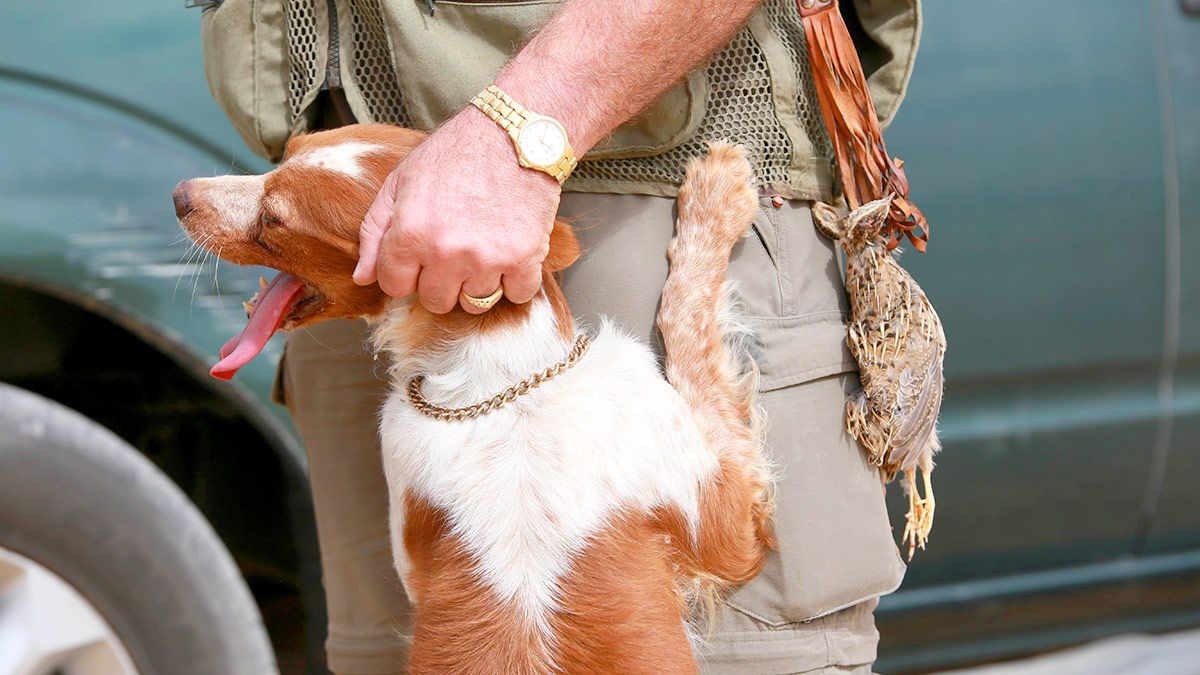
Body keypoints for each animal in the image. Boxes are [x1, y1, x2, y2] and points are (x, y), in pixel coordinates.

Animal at [175, 123, 772, 667]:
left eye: (274, 219)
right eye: (285, 156)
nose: (179, 195)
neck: (503, 382)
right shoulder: (726, 527)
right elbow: (688, 322)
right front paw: (719, 192)